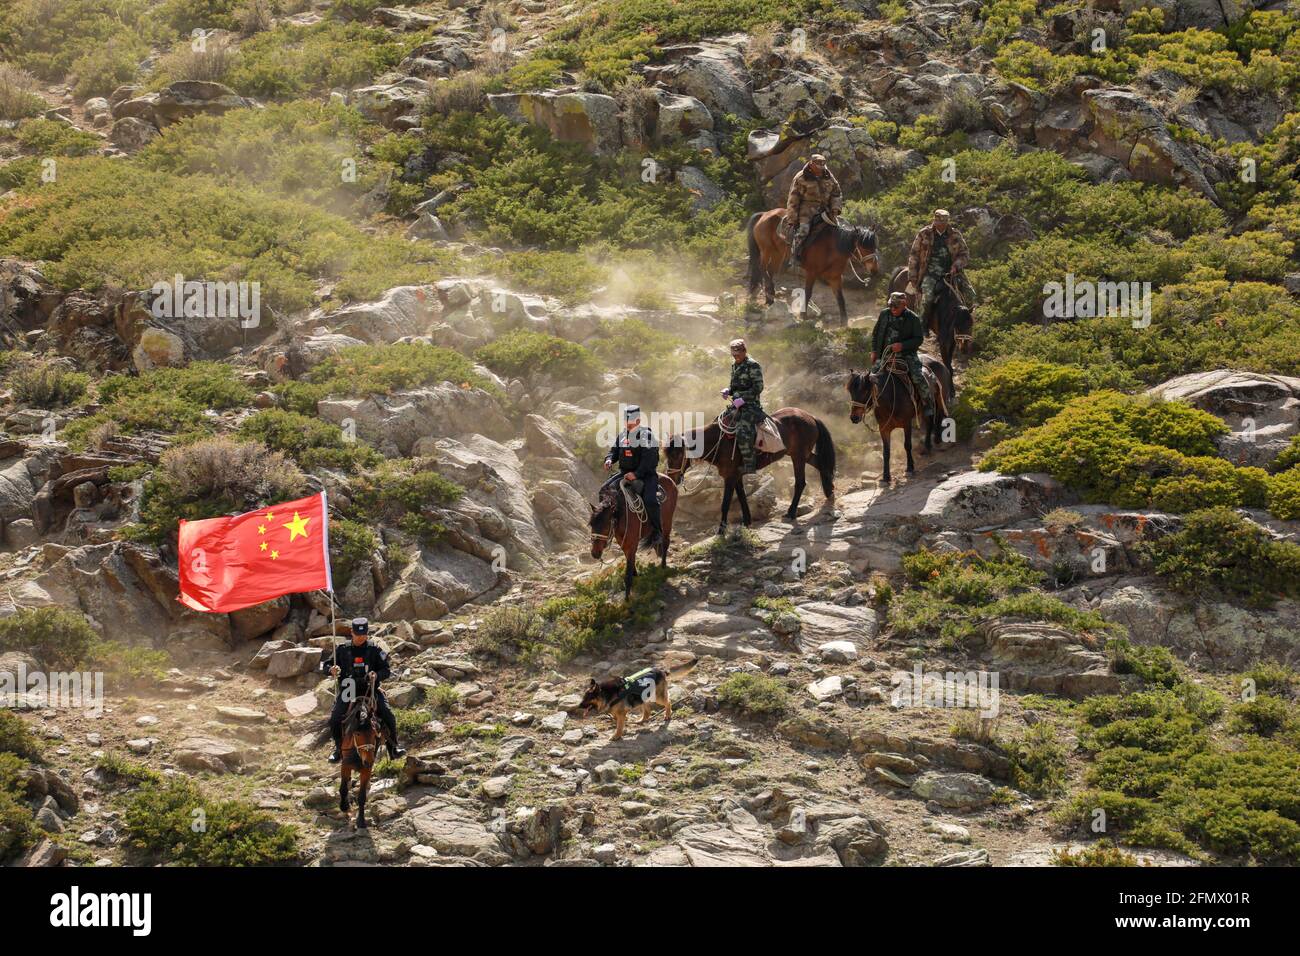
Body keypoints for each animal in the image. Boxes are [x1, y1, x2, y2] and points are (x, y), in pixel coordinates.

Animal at [335, 671, 384, 832]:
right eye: (356, 734)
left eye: (375, 733)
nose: (368, 760)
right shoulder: (345, 765)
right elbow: (343, 788)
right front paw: (344, 806)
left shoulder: (366, 769)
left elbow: (362, 796)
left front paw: (361, 821)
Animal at [665, 405, 837, 538]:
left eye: (678, 454)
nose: (672, 477)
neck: (719, 443)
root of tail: (810, 416)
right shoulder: (735, 476)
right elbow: (741, 497)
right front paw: (747, 521)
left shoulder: (729, 477)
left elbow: (725, 503)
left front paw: (721, 530)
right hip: (802, 455)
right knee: (821, 464)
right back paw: (829, 492)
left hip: (799, 457)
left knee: (801, 482)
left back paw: (791, 512)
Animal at [748, 208, 878, 327]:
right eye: (863, 247)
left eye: (875, 245)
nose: (874, 270)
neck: (831, 247)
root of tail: (764, 214)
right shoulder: (811, 273)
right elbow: (808, 292)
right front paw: (803, 315)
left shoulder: (835, 278)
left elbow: (840, 298)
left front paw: (844, 322)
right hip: (766, 250)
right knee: (762, 268)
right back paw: (770, 293)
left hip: (777, 253)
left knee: (769, 270)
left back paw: (769, 298)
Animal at [847, 351, 951, 486]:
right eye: (850, 391)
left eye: (865, 391)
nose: (854, 417)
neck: (891, 397)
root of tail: (939, 362)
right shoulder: (884, 429)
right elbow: (886, 452)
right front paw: (886, 476)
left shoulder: (907, 424)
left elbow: (907, 445)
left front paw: (910, 467)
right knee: (929, 423)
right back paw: (927, 446)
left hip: (940, 398)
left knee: (938, 417)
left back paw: (936, 441)